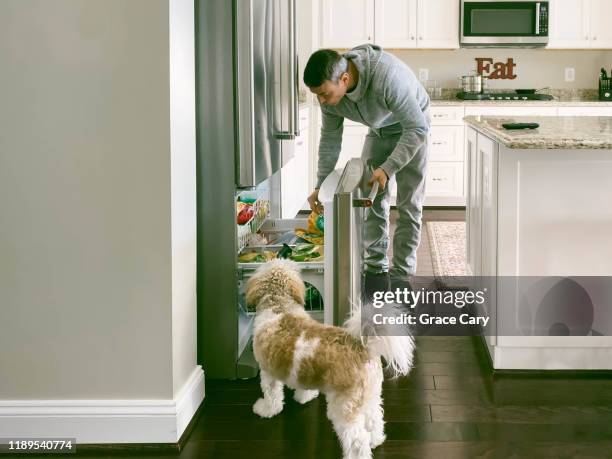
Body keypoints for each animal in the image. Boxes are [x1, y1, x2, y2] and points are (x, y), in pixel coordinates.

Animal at [246, 260, 414, 458]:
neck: (279, 306)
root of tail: (360, 346)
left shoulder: (268, 373)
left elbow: (272, 396)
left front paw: (265, 410)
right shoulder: (302, 372)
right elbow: (303, 387)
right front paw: (305, 397)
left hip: (344, 407)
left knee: (357, 440)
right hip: (370, 396)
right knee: (375, 419)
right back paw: (376, 440)